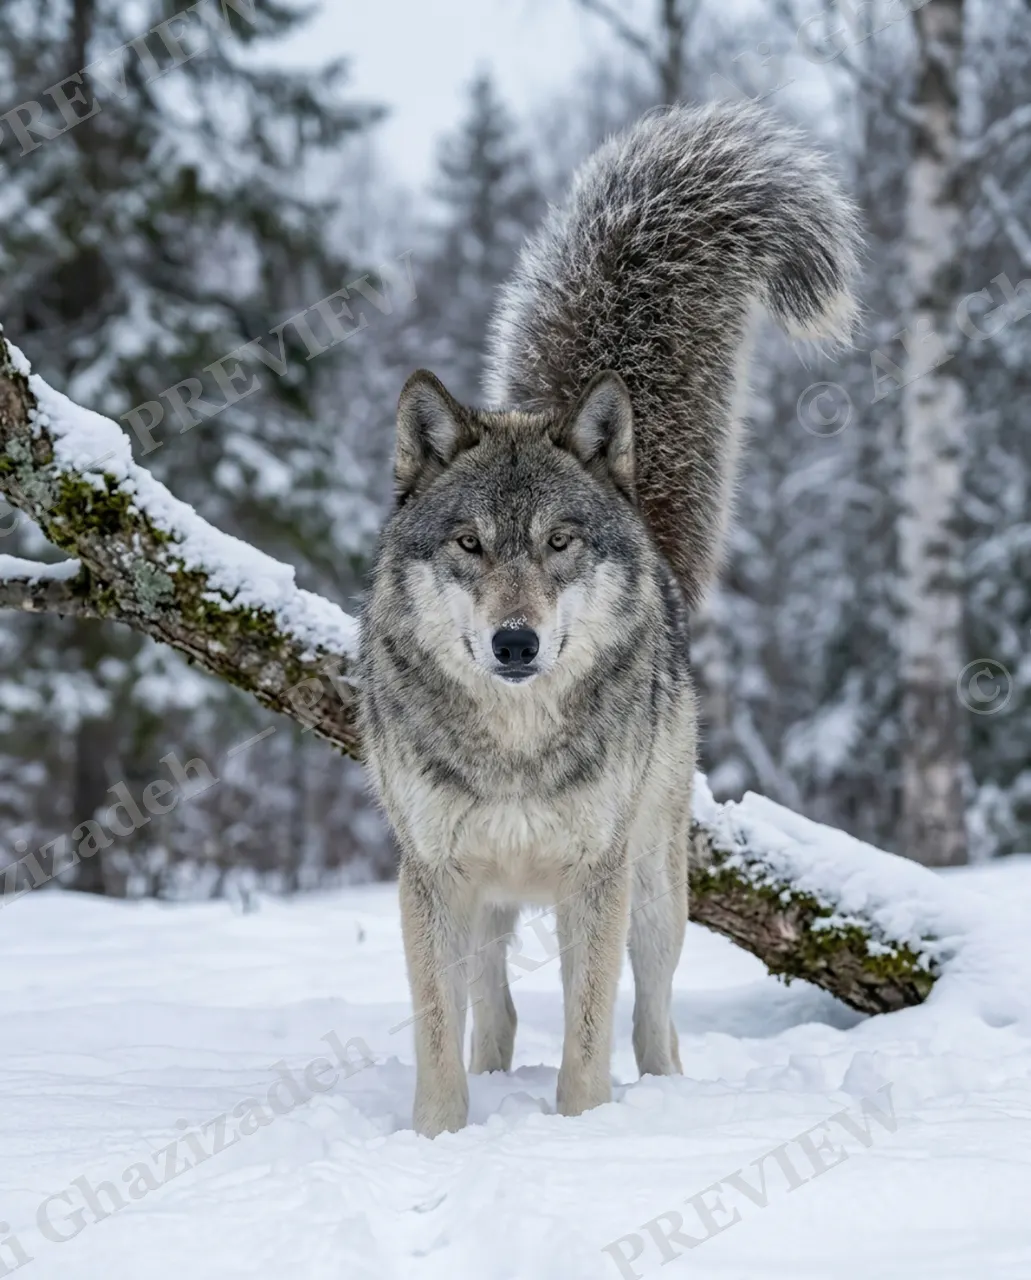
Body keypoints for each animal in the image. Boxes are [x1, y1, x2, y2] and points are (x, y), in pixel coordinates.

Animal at [358, 102, 860, 1137]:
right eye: (469, 544)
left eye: (558, 542)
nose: (515, 642)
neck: (514, 745)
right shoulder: (431, 878)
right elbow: (436, 1040)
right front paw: (440, 1139)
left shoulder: (595, 875)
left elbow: (589, 1037)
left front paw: (582, 1138)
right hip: (491, 910)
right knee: (496, 1012)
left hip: (653, 887)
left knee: (653, 1012)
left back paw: (664, 1094)